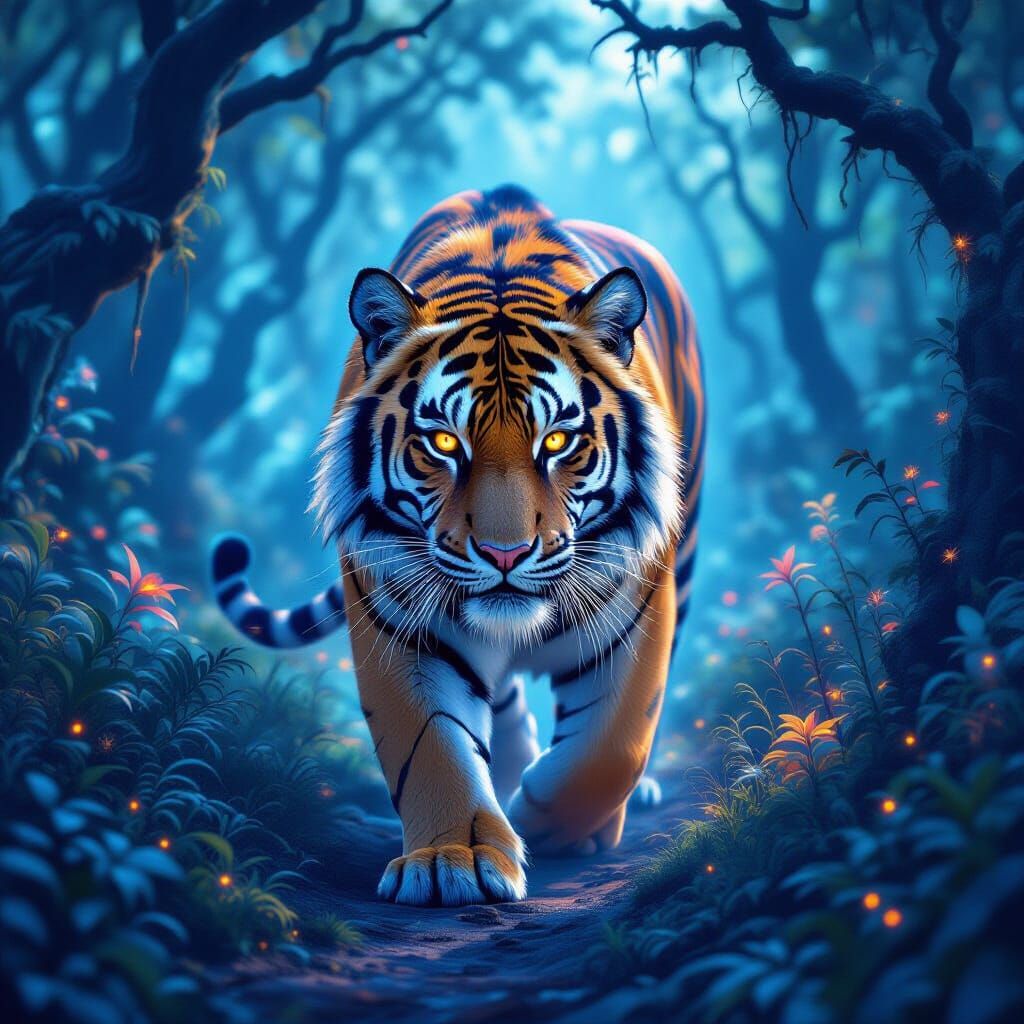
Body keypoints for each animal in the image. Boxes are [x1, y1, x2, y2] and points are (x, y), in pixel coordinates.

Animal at [211, 185, 704, 907]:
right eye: (444, 442)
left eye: (558, 441)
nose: (505, 555)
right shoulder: (398, 618)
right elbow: (432, 745)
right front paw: (457, 860)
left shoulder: (636, 605)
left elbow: (610, 749)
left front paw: (551, 825)